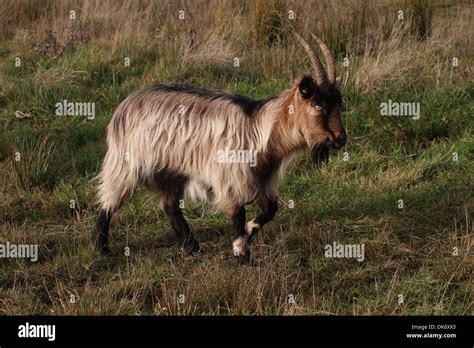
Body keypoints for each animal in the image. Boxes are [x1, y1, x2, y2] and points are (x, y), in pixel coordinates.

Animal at [93, 34, 344, 266]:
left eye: (339, 105)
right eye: (318, 106)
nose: (340, 139)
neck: (258, 129)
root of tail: (125, 104)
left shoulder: (261, 180)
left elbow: (271, 209)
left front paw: (247, 236)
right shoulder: (230, 177)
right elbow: (238, 214)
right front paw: (242, 255)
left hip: (171, 168)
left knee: (169, 204)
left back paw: (192, 247)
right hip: (127, 160)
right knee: (110, 197)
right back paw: (101, 247)